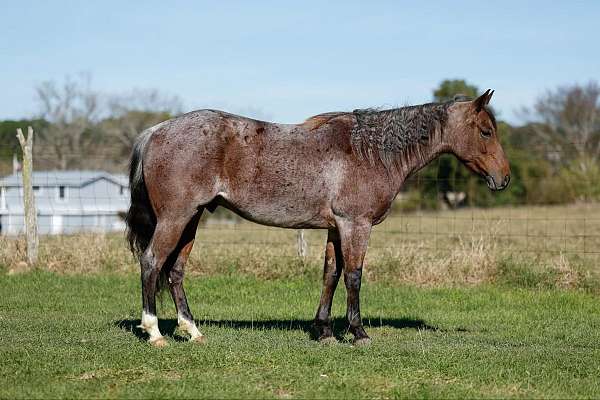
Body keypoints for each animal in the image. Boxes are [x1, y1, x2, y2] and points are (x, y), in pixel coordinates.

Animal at [126, 89, 510, 346]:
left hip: (191, 220)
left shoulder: (335, 228)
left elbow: (331, 274)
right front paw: (357, 332)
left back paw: (192, 330)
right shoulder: (355, 225)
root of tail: (155, 132)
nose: (504, 178)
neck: (369, 152)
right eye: (486, 131)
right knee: (152, 261)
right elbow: (353, 276)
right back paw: (154, 332)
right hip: (175, 219)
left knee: (175, 271)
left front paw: (323, 330)